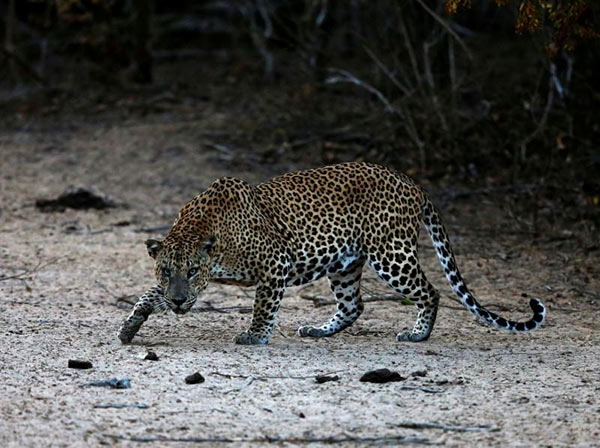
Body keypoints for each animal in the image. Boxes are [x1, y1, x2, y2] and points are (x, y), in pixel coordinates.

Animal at [116, 163, 544, 344]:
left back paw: (418, 334)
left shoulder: (275, 264)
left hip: (392, 254)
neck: (208, 232)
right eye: (167, 271)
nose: (179, 300)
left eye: (192, 271)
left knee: (431, 292)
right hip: (344, 264)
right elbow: (148, 295)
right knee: (354, 305)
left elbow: (262, 306)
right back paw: (319, 330)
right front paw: (131, 324)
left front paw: (255, 336)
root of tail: (411, 182)